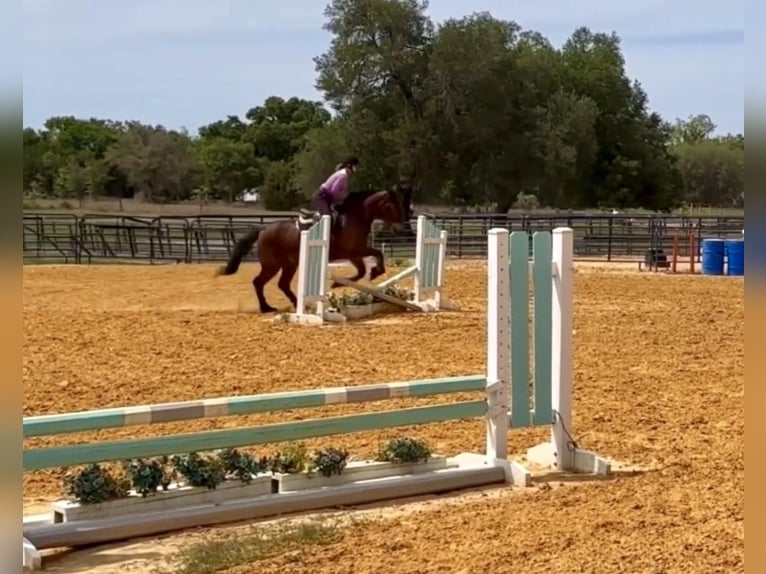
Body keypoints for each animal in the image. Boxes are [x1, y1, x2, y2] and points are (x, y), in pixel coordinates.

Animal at [216, 184, 414, 316]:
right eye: (391, 205)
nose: (400, 230)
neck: (354, 217)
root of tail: (263, 229)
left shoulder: (353, 254)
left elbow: (362, 270)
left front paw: (340, 283)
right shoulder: (354, 250)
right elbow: (376, 255)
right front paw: (374, 272)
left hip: (289, 265)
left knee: (282, 284)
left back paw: (299, 305)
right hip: (272, 265)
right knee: (258, 282)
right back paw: (266, 308)